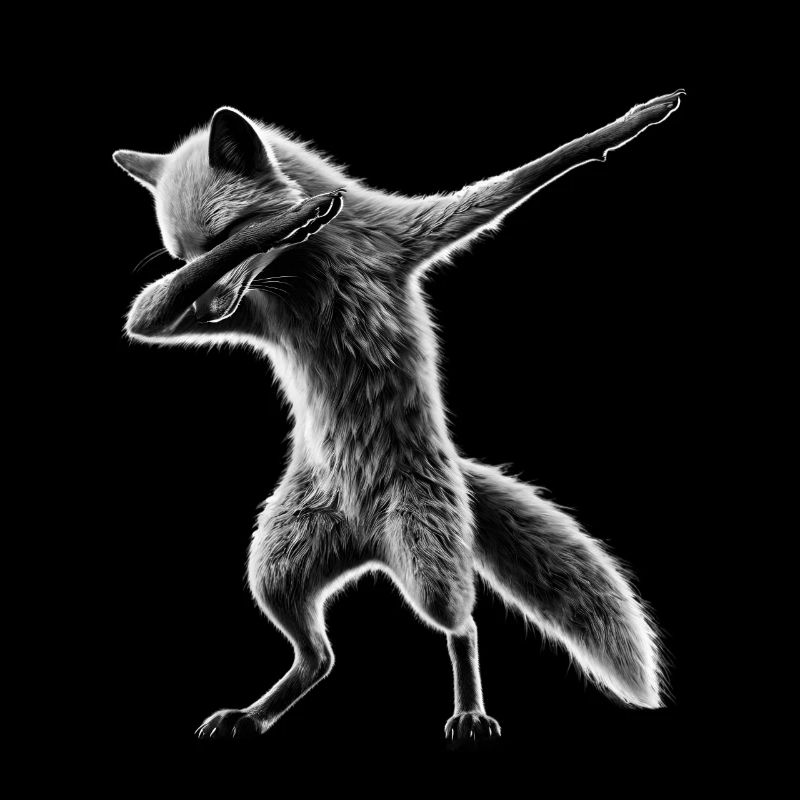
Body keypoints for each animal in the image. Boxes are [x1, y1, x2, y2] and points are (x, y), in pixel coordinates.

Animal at [115, 90, 684, 741]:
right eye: (183, 256)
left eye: (224, 234)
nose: (208, 314)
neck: (312, 274)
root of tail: (366, 540)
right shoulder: (243, 312)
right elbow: (145, 315)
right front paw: (295, 216)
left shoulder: (407, 235)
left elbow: (521, 178)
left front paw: (629, 125)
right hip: (275, 564)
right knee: (320, 657)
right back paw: (255, 714)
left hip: (426, 560)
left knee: (462, 625)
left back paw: (469, 709)